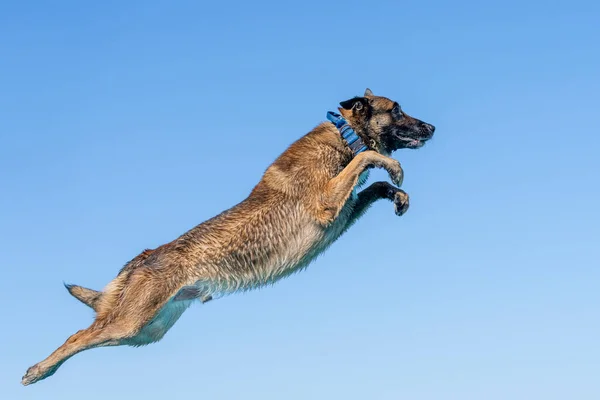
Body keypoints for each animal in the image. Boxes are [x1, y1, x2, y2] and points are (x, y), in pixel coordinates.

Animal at [22, 89, 436, 386]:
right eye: (397, 110)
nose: (432, 128)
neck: (344, 134)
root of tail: (144, 256)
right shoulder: (326, 202)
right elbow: (368, 160)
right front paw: (394, 167)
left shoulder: (341, 213)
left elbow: (374, 184)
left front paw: (397, 193)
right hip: (130, 323)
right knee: (76, 336)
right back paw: (38, 371)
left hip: (144, 332)